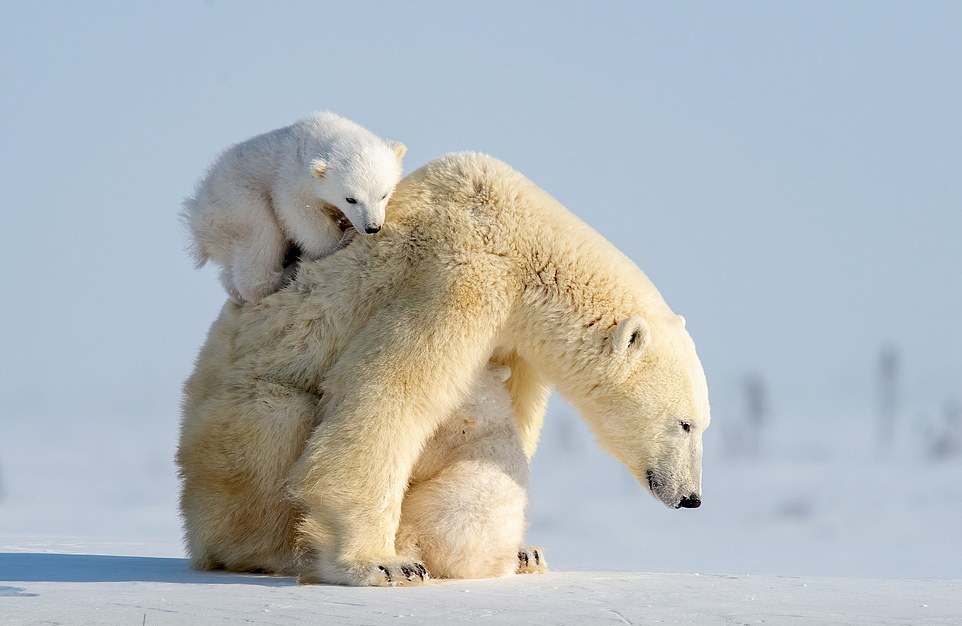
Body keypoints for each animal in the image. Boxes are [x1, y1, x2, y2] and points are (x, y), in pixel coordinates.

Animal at [178, 151, 704, 584]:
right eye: (685, 423)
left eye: (700, 424)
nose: (692, 498)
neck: (520, 233)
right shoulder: (458, 275)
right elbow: (385, 392)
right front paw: (381, 563)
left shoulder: (513, 335)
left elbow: (513, 411)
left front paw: (523, 550)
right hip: (227, 435)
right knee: (277, 421)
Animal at [180, 111, 404, 304]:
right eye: (351, 199)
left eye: (383, 194)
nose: (372, 227)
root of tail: (195, 217)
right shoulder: (290, 178)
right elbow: (298, 212)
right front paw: (341, 241)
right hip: (236, 203)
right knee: (262, 235)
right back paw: (287, 272)